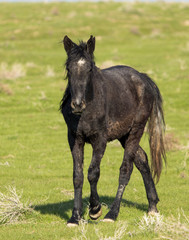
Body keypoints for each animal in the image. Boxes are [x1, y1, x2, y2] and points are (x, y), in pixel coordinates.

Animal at [59, 34, 166, 226]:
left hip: (135, 132)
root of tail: (143, 78)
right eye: (68, 68)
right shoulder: (75, 139)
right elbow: (77, 176)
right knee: (142, 159)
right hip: (124, 135)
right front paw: (74, 217)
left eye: (90, 68)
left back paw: (112, 214)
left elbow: (93, 173)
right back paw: (152, 206)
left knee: (126, 170)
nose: (77, 104)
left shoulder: (100, 140)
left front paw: (95, 210)